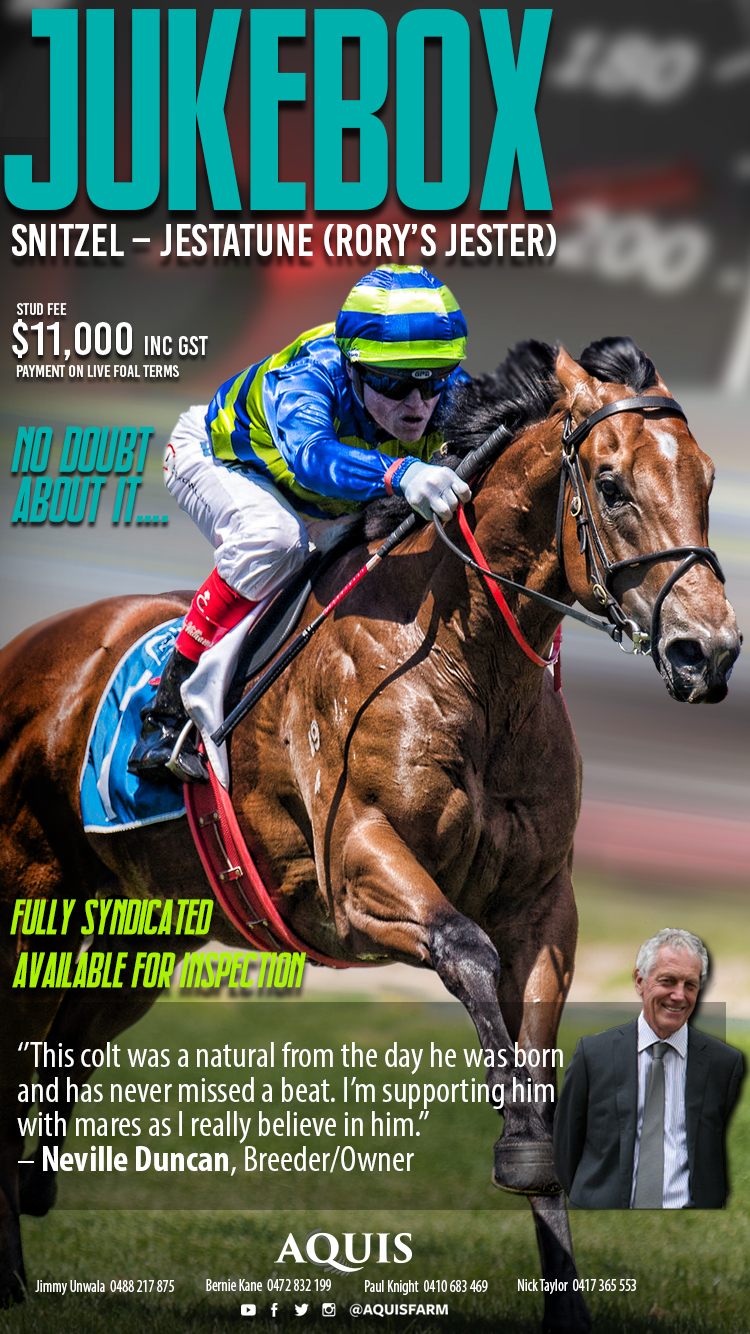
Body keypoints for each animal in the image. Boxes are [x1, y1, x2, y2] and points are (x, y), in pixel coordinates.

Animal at [0, 336, 739, 1332]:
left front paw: (565, 1288)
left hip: (138, 945)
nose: (709, 652)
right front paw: (520, 1151)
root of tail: (30, 653)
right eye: (613, 485)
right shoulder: (358, 866)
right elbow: (463, 948)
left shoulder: (542, 903)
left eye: (708, 477)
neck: (465, 654)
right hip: (28, 905)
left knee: (54, 1056)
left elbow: (534, 1057)